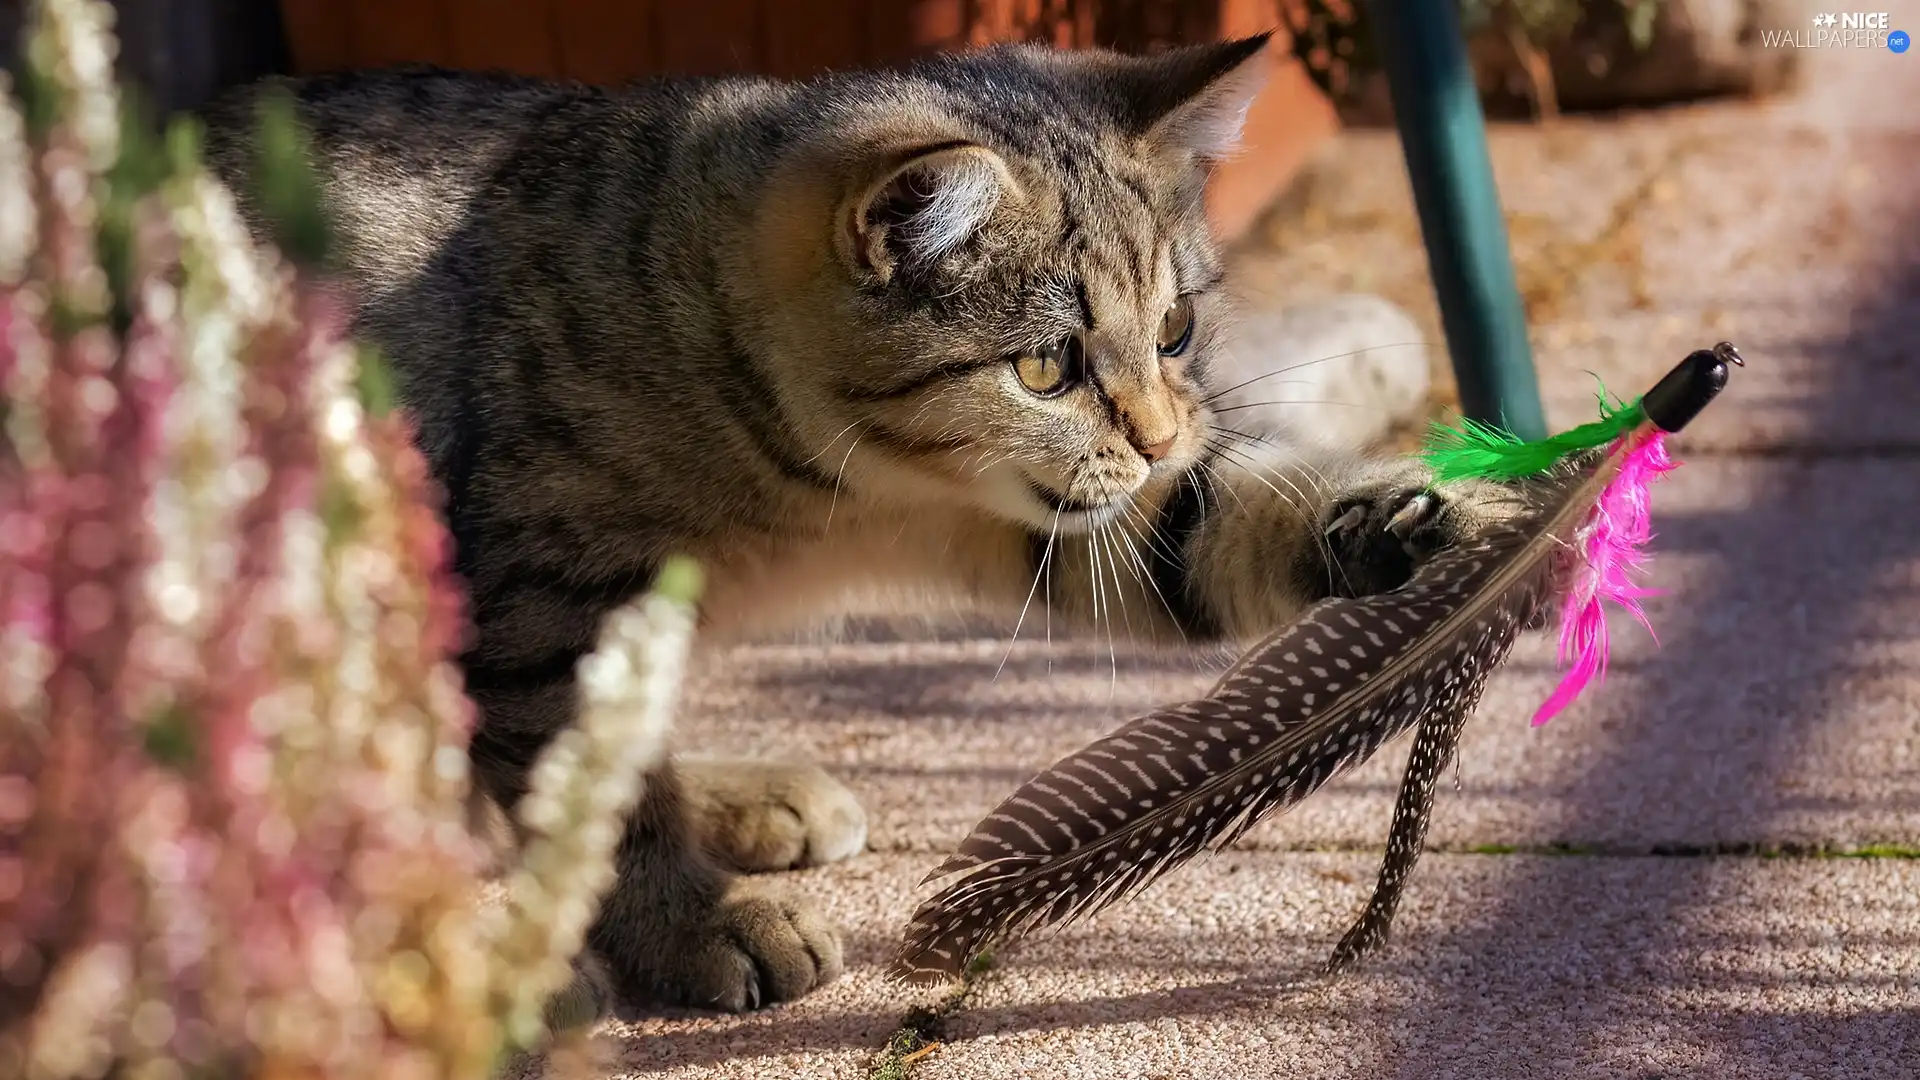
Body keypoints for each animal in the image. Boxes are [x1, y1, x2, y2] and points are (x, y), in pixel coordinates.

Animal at [198, 31, 1512, 1022]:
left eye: (1177, 328)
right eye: (1047, 366)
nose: (1158, 434)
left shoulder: (1059, 522)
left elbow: (1214, 534)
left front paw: (1439, 519)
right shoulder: (538, 597)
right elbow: (594, 790)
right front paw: (695, 924)